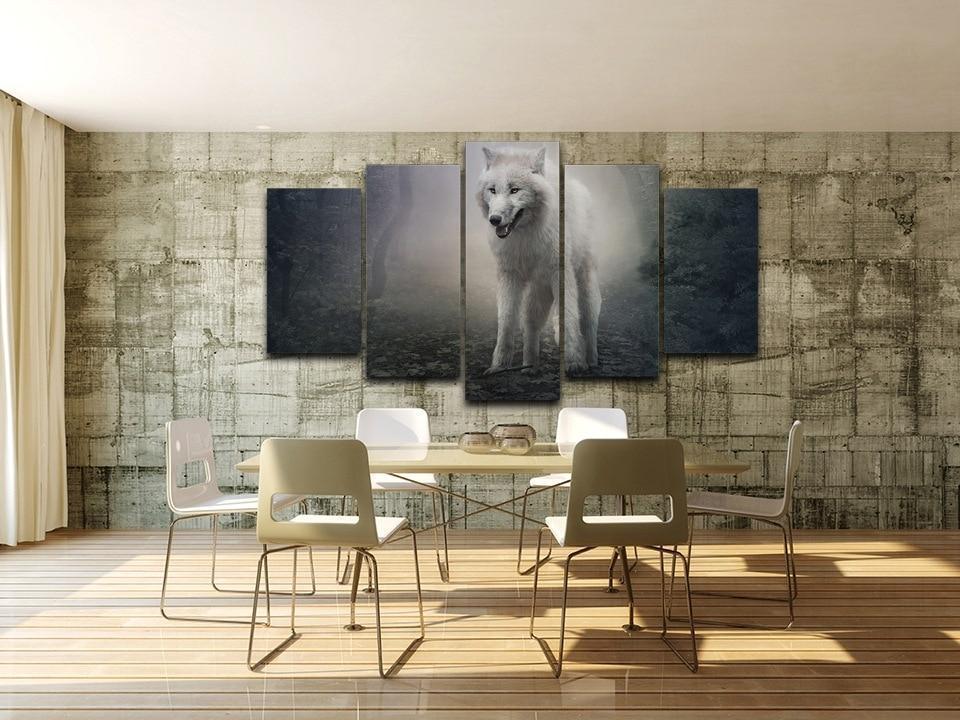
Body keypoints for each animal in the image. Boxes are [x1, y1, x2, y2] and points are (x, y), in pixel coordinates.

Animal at [475, 145, 600, 375]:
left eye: (515, 190)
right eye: (493, 190)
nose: (494, 219)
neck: (525, 236)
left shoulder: (561, 274)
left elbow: (568, 317)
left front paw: (574, 362)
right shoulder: (509, 275)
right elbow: (506, 322)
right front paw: (498, 366)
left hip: (584, 285)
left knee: (588, 321)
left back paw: (591, 360)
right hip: (537, 290)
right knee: (531, 323)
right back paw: (529, 366)